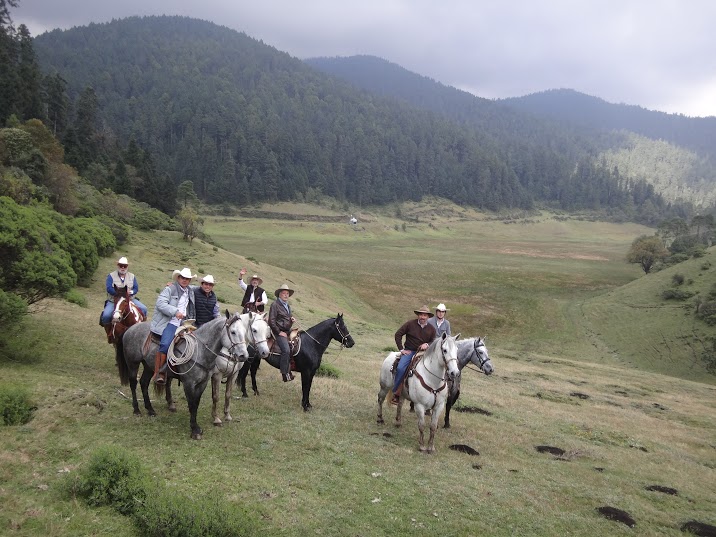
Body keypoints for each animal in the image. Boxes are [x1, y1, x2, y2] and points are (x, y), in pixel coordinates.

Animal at [117, 312, 249, 438]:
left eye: (244, 332)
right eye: (233, 332)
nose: (244, 356)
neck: (199, 351)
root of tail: (130, 329)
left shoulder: (202, 383)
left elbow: (196, 403)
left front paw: (196, 427)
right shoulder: (188, 383)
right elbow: (191, 403)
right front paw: (194, 429)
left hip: (148, 367)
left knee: (144, 383)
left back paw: (150, 410)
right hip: (133, 364)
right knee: (133, 384)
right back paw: (136, 410)